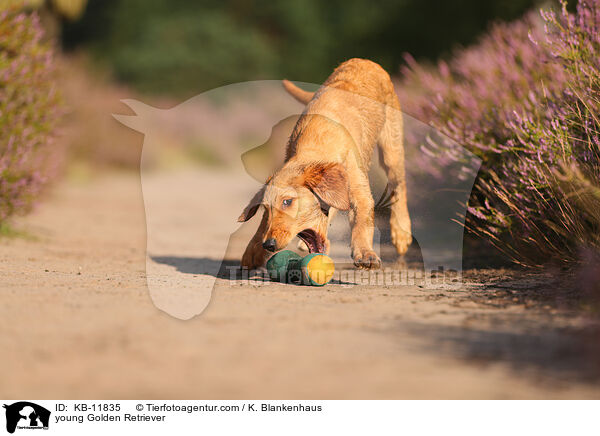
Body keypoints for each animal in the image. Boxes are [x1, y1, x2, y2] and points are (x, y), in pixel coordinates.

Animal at [239, 58, 412, 270]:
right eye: (266, 208)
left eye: (288, 202)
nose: (268, 244)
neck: (315, 143)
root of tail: (365, 61)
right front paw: (253, 250)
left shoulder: (360, 190)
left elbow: (362, 220)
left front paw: (365, 253)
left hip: (391, 147)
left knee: (399, 185)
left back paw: (401, 231)